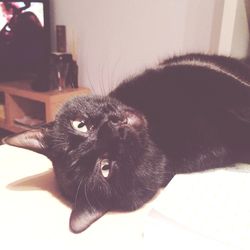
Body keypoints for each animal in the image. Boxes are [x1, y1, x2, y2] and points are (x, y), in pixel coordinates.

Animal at [2, 53, 250, 233]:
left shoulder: (190, 72)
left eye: (80, 125)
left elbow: (234, 88)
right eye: (105, 167)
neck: (163, 131)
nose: (112, 128)